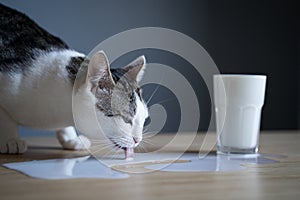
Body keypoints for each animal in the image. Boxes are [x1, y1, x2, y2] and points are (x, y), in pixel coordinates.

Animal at [0, 3, 149, 156]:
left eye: (144, 119)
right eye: (125, 118)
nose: (138, 140)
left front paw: (70, 138)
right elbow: (4, 118)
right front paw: (10, 139)